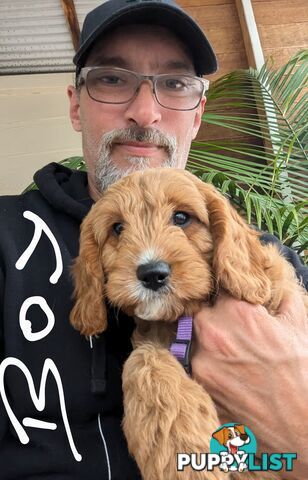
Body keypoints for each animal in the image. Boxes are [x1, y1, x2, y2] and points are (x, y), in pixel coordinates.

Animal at [70, 167, 306, 478]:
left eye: (181, 217)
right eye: (117, 228)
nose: (152, 274)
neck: (185, 316)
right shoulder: (153, 340)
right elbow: (144, 359)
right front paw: (182, 455)